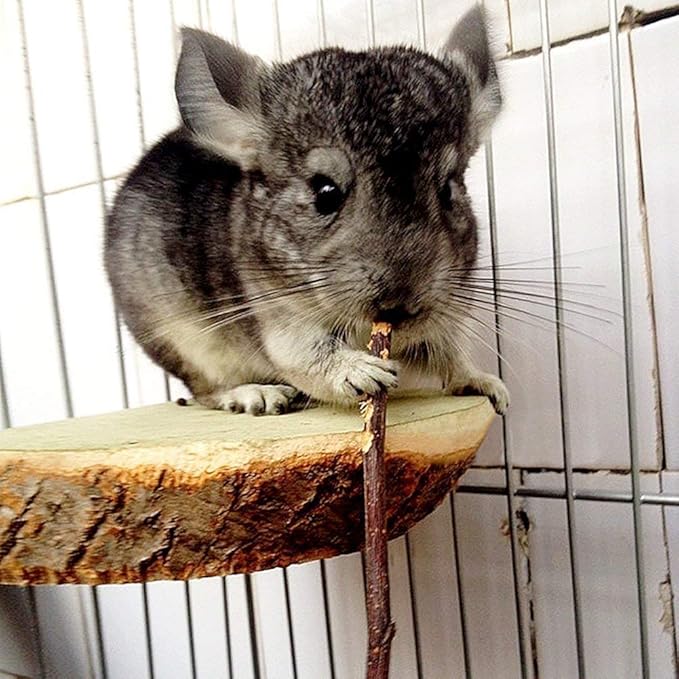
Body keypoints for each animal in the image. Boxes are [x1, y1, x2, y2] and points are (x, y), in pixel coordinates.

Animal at [105, 5, 510, 416]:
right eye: (325, 192)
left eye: (448, 190)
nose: (398, 305)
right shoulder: (279, 321)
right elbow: (309, 357)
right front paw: (365, 373)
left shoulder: (444, 317)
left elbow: (449, 352)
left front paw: (488, 386)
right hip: (184, 343)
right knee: (206, 390)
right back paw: (257, 395)